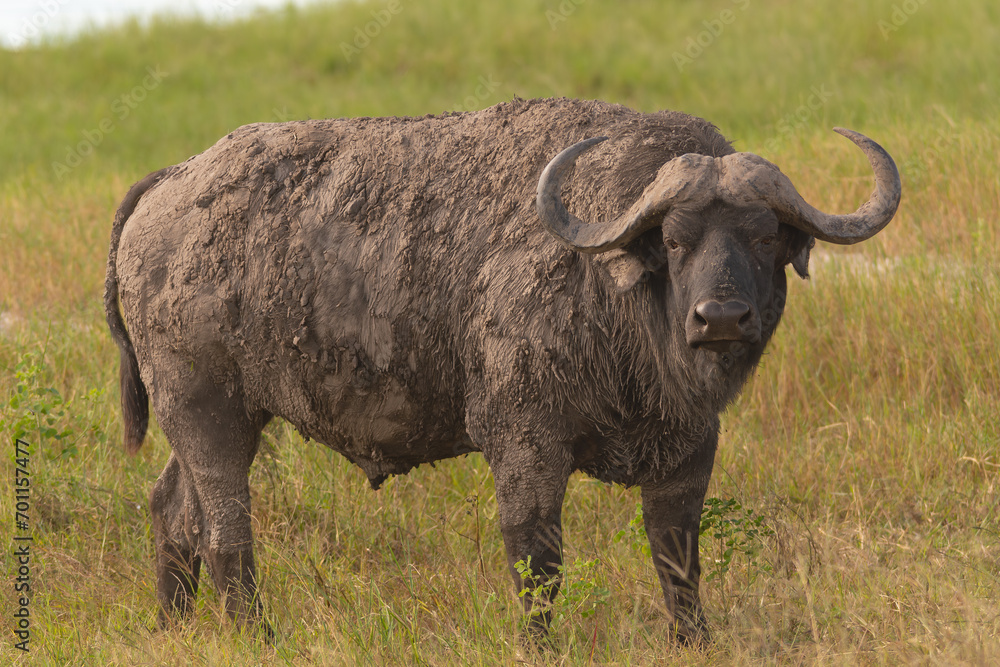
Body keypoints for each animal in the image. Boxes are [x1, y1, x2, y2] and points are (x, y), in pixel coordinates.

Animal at [105, 95, 904, 640]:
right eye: (676, 239)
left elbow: (678, 556)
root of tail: (173, 181)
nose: (721, 318)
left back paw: (175, 626)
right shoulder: (525, 443)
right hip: (210, 414)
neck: (611, 306)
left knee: (171, 511)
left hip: (211, 421)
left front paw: (693, 642)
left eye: (764, 236)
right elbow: (537, 559)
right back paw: (257, 635)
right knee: (224, 533)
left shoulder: (690, 451)